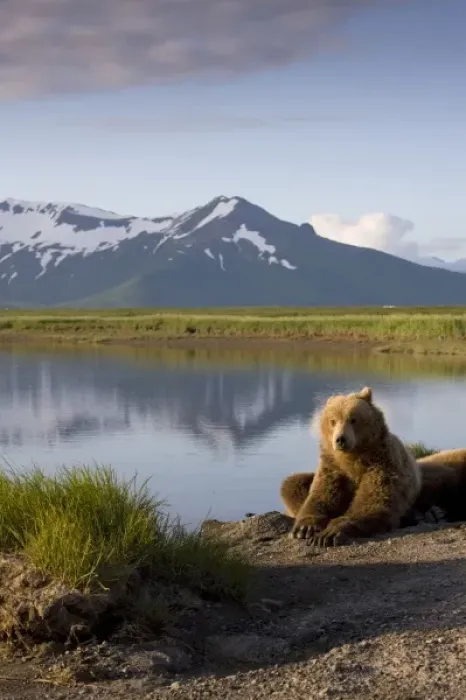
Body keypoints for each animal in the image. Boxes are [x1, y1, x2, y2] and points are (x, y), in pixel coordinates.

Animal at [282, 386, 422, 546]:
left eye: (353, 419)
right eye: (333, 421)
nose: (340, 439)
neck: (352, 458)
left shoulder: (382, 463)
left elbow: (373, 501)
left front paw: (329, 534)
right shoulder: (332, 467)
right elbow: (321, 495)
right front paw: (304, 529)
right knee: (291, 483)